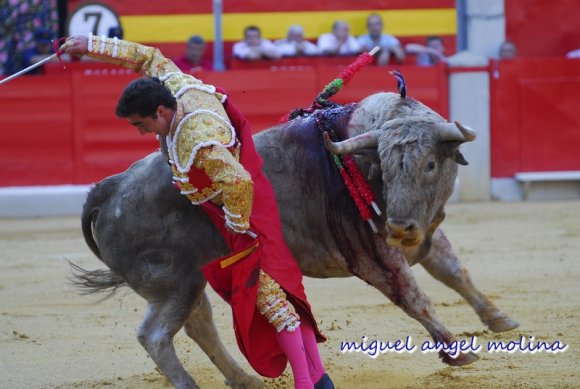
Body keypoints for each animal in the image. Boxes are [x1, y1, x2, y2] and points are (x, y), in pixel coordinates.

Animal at [75, 92, 520, 386]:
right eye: (384, 166)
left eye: (429, 164)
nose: (399, 227)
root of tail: (109, 188)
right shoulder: (373, 255)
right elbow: (415, 297)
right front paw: (457, 353)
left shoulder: (426, 234)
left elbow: (454, 272)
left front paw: (500, 319)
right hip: (174, 284)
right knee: (156, 335)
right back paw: (192, 384)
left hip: (191, 280)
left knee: (198, 325)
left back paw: (245, 379)